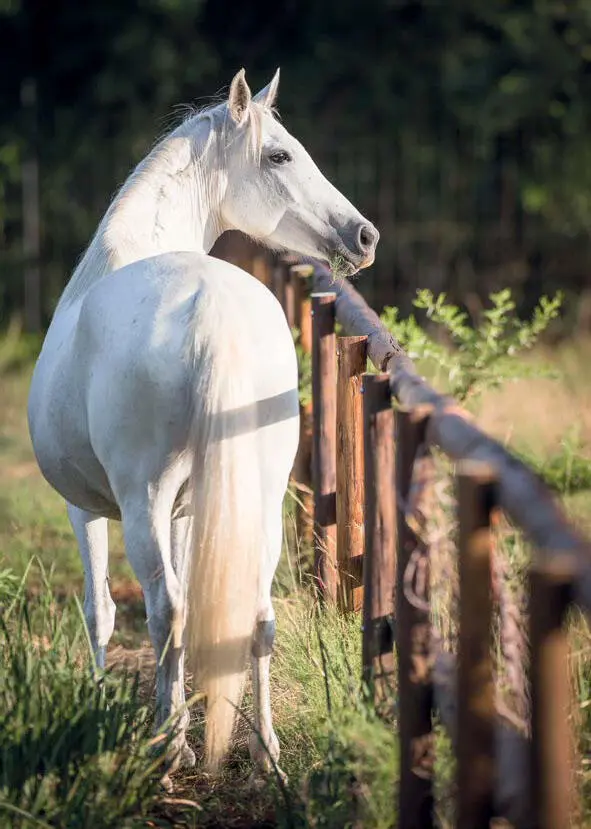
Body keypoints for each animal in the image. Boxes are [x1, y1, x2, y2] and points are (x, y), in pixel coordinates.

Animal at [26, 68, 380, 780]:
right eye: (280, 156)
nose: (364, 237)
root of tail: (212, 305)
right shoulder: (191, 509)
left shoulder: (89, 507)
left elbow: (102, 611)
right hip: (259, 497)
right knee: (256, 614)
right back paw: (264, 751)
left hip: (143, 501)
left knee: (165, 609)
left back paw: (167, 748)